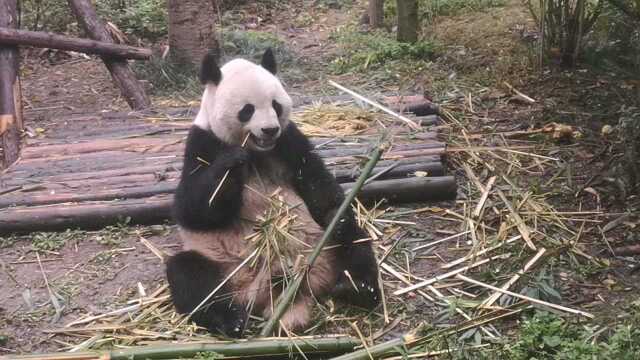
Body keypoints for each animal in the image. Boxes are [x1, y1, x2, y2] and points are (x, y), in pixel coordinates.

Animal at [168, 49, 382, 338]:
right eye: (247, 110)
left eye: (275, 105)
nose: (269, 129)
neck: (258, 151)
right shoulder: (202, 143)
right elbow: (191, 209)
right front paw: (232, 162)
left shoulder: (289, 140)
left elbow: (315, 179)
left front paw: (335, 214)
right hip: (223, 266)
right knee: (189, 275)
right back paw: (231, 320)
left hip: (322, 249)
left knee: (354, 239)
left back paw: (356, 287)